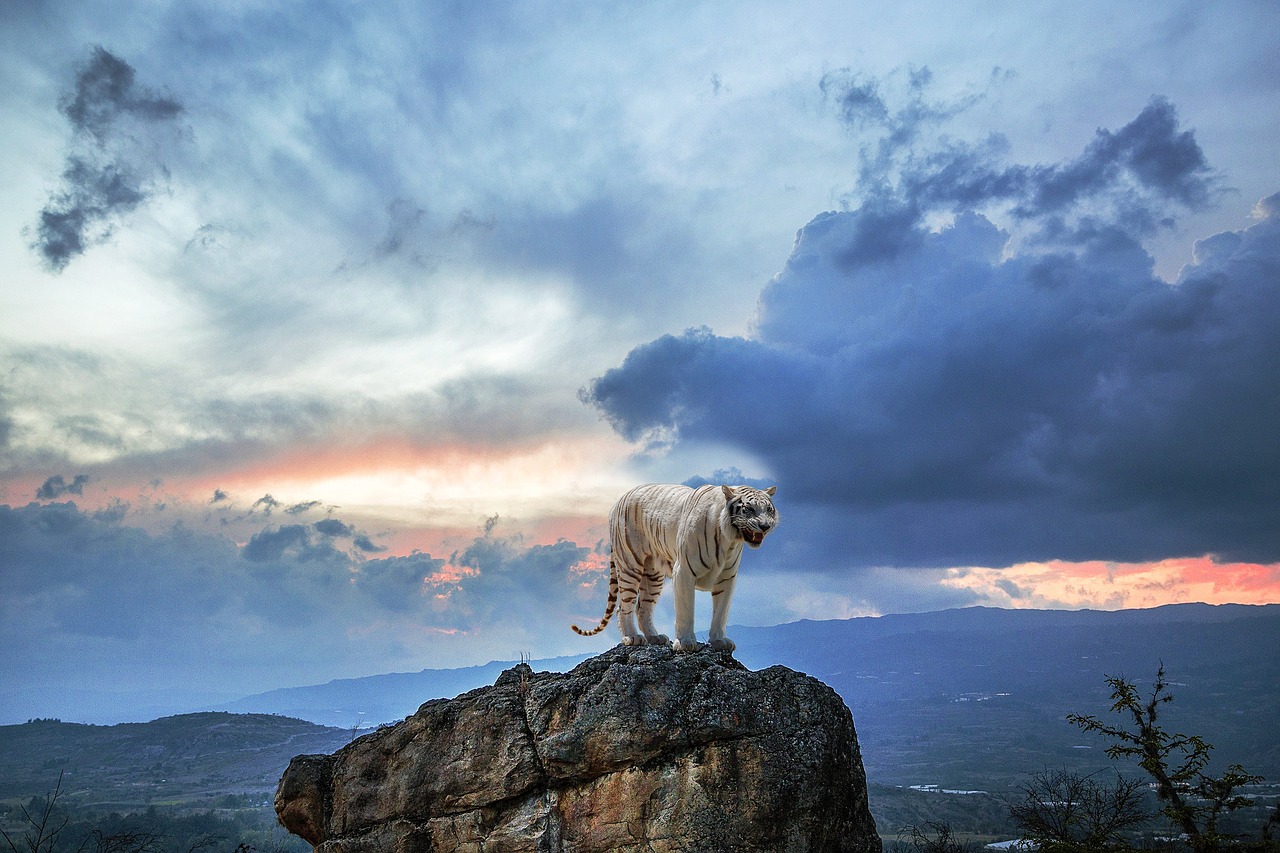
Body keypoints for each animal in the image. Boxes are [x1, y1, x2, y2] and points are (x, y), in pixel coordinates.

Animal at [573, 481, 778, 648]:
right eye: (749, 509)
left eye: (769, 509)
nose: (765, 526)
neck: (729, 540)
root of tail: (620, 499)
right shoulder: (684, 571)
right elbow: (686, 610)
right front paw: (685, 643)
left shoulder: (727, 577)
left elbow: (721, 611)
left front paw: (719, 641)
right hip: (630, 565)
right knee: (623, 607)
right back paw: (632, 638)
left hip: (653, 574)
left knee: (643, 607)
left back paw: (654, 637)